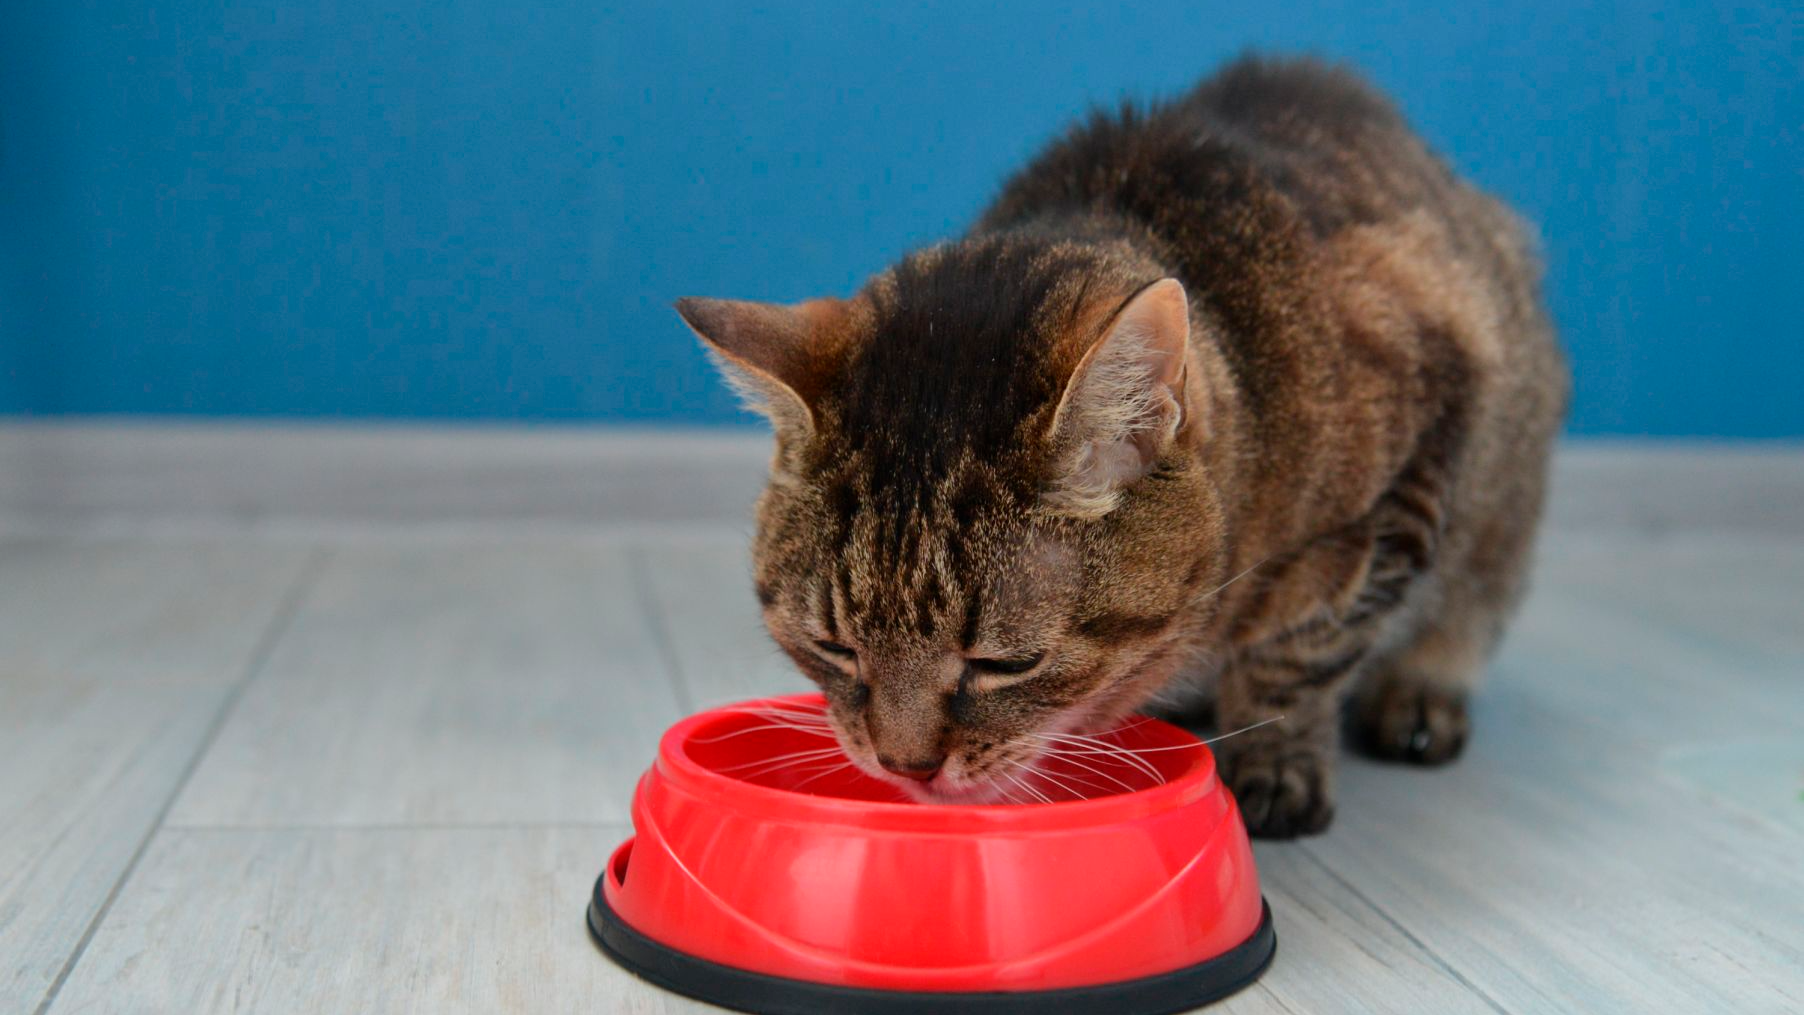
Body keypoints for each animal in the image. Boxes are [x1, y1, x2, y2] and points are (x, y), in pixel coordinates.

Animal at [674, 55, 1565, 836]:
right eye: (834, 647)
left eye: (1004, 663)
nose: (905, 767)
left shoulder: (1418, 446)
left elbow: (1299, 649)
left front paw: (1275, 753)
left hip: (1507, 486)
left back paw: (1421, 691)